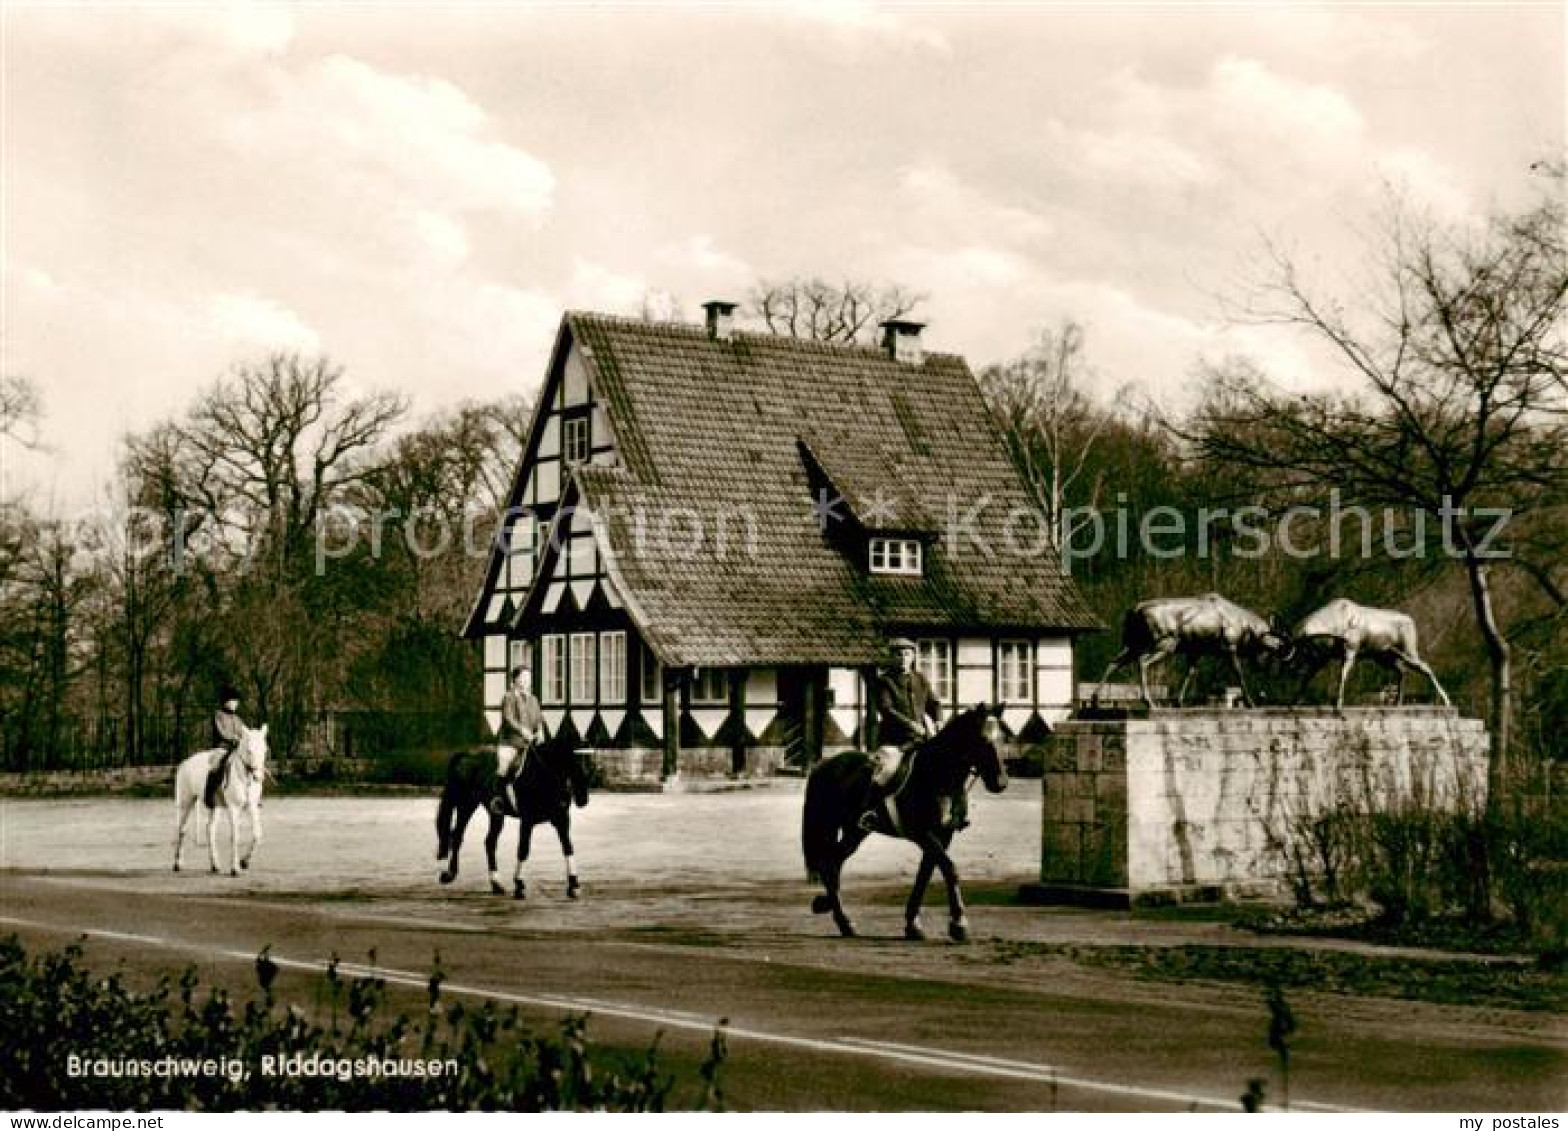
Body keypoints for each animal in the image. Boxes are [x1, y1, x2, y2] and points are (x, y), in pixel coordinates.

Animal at [174, 724, 269, 872]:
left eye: (265, 750)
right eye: (249, 750)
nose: (258, 777)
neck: (244, 778)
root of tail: (185, 763)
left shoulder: (252, 807)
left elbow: (256, 834)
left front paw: (244, 862)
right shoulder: (233, 808)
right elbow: (235, 836)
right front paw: (235, 868)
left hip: (215, 806)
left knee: (210, 829)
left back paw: (215, 865)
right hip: (186, 802)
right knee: (182, 829)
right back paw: (178, 863)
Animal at [435, 730, 589, 897]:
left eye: (589, 759)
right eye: (572, 759)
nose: (582, 799)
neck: (545, 776)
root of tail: (467, 754)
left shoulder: (561, 819)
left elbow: (568, 847)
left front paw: (574, 885)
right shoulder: (527, 820)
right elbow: (523, 849)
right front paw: (519, 884)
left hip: (495, 813)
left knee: (489, 842)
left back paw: (496, 884)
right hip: (467, 804)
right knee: (457, 835)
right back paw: (449, 874)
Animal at [802, 702, 1009, 941]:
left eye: (1003, 738)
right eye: (983, 740)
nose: (1000, 783)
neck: (938, 775)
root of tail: (824, 763)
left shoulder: (943, 835)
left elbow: (925, 874)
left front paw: (913, 924)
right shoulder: (923, 834)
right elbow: (949, 868)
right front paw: (959, 923)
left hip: (855, 831)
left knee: (833, 863)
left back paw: (831, 910)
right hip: (836, 826)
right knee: (828, 864)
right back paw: (843, 921)